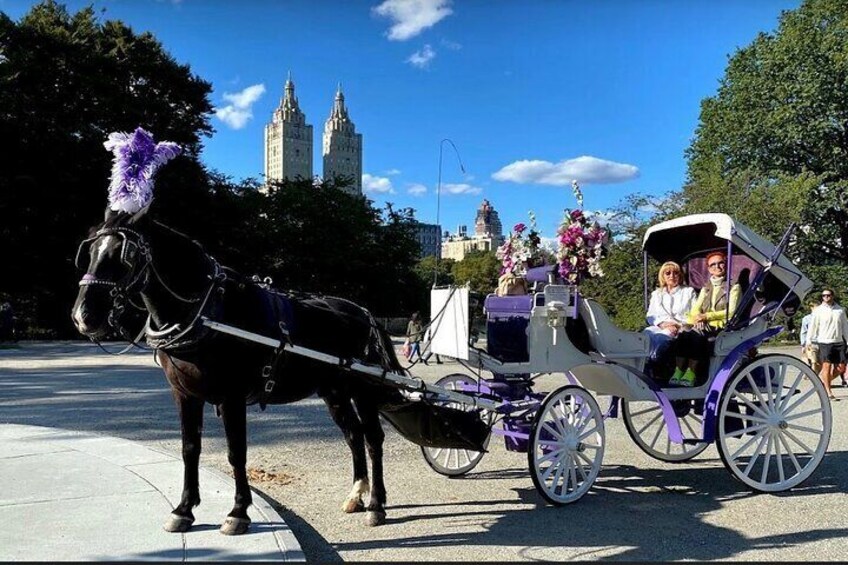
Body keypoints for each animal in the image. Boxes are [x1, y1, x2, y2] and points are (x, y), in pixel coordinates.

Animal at [69, 208, 408, 532]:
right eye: (90, 251)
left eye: (124, 255)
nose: (83, 316)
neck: (206, 311)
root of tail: (365, 314)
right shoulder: (184, 394)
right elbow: (190, 448)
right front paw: (183, 510)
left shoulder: (231, 397)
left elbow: (236, 452)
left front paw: (238, 512)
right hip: (334, 392)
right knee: (353, 435)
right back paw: (356, 495)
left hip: (363, 390)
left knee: (373, 438)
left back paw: (376, 504)